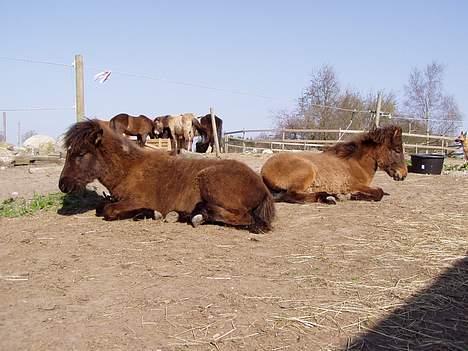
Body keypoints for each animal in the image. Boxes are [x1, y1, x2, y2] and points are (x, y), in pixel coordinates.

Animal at [60, 119, 276, 234]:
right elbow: (101, 206)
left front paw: (150, 213)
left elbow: (108, 210)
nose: (63, 185)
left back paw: (197, 215)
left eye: (81, 154)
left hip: (211, 182)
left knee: (244, 217)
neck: (130, 169)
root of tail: (262, 187)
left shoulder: (135, 200)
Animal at [262, 126, 408, 204]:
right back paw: (328, 197)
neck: (356, 163)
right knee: (290, 195)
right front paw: (353, 196)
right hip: (308, 171)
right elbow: (379, 192)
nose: (404, 174)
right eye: (397, 150)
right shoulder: (352, 184)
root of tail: (264, 171)